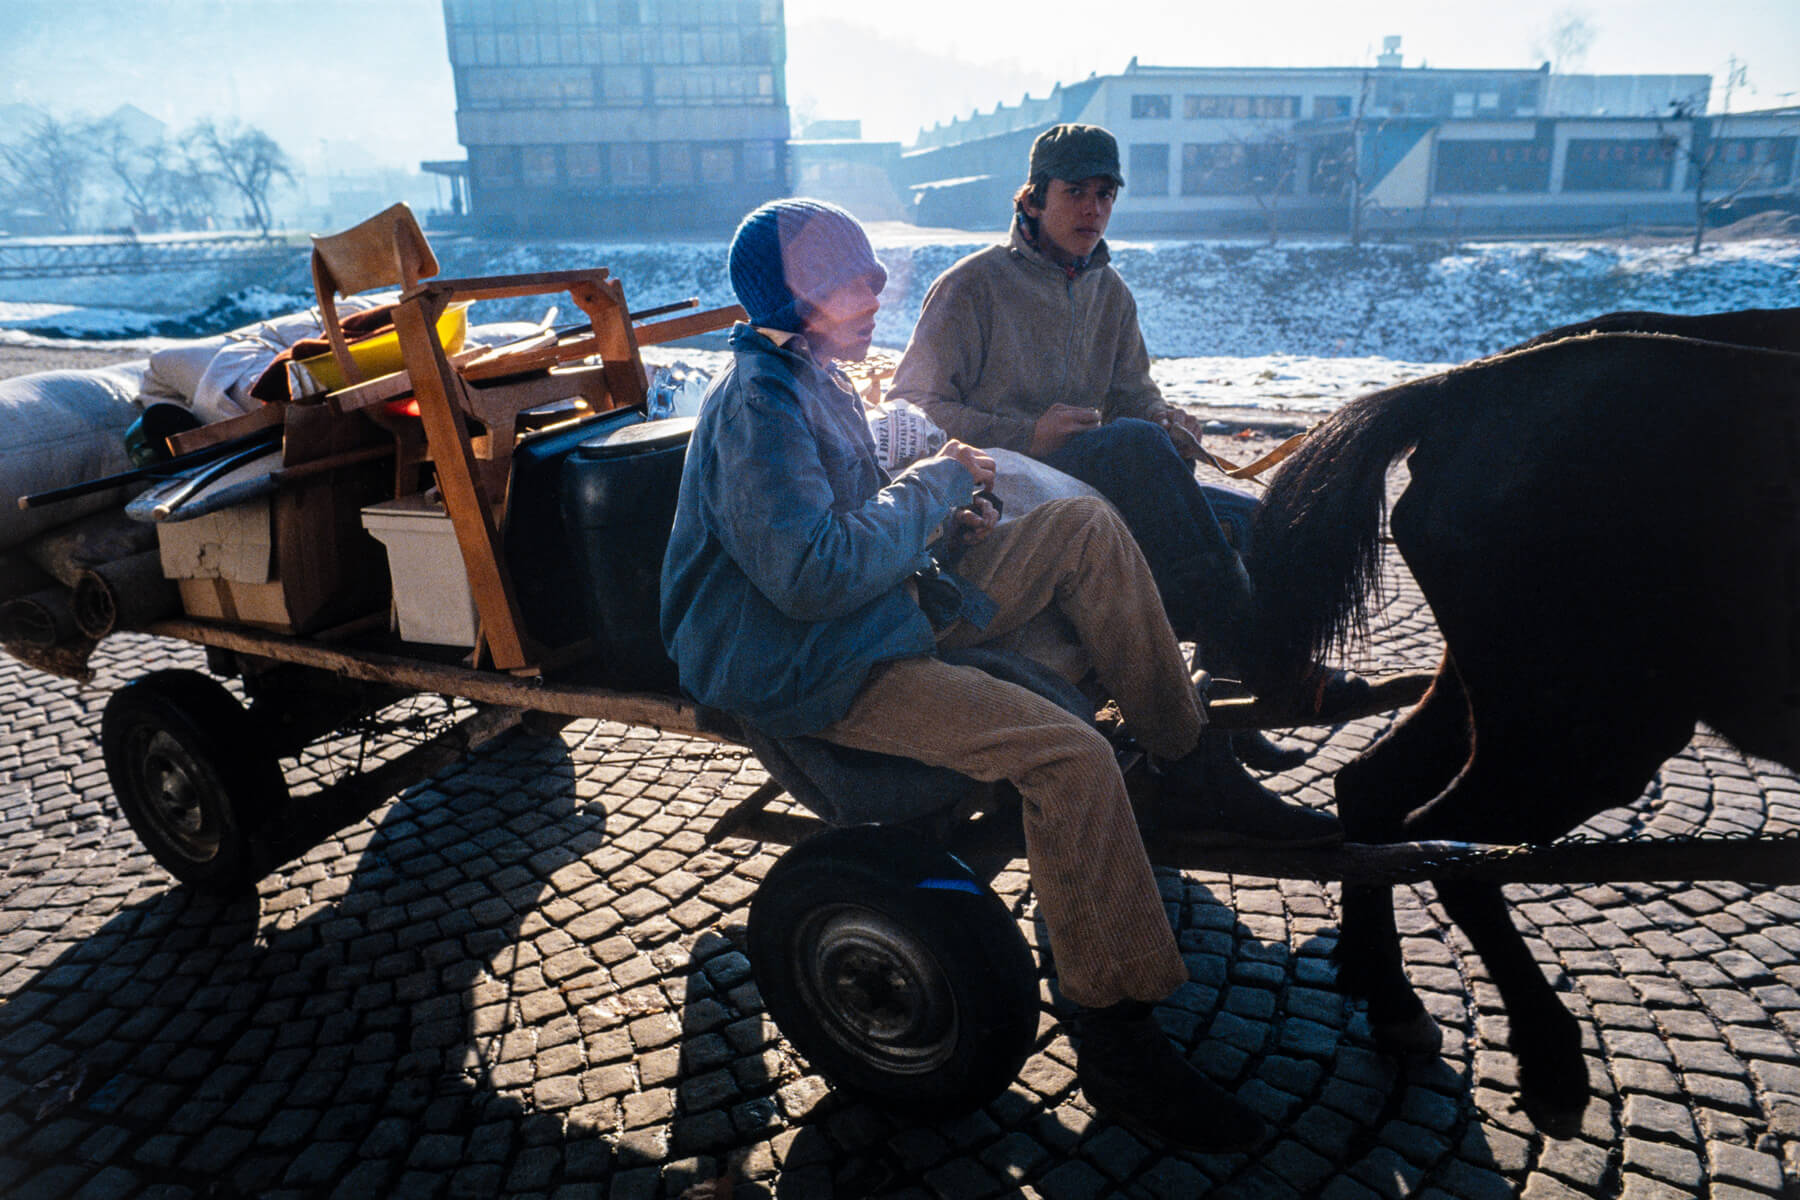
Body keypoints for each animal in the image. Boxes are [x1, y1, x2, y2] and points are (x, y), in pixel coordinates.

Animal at [1252, 309, 1800, 1137]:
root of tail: (1459, 388)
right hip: (1585, 734)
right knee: (1450, 847)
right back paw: (1547, 1052)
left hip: (1497, 700)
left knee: (1372, 793)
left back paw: (1390, 995)